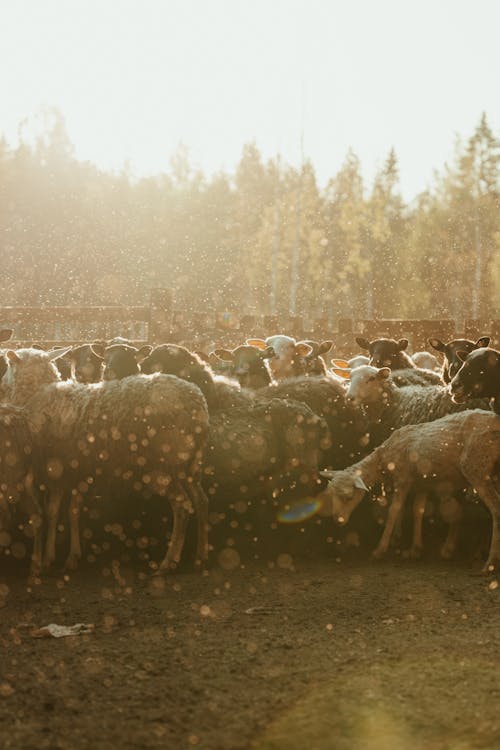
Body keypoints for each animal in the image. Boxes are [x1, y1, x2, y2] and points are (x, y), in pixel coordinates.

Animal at [1, 350, 209, 572]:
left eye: (8, 364)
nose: (2, 385)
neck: (37, 395)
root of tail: (197, 404)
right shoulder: (79, 472)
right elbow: (73, 511)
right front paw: (73, 556)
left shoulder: (56, 472)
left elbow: (52, 512)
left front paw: (49, 556)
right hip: (189, 465)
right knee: (201, 501)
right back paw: (200, 556)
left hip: (162, 466)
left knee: (182, 506)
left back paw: (169, 561)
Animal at [316, 412, 500, 568]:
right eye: (331, 495)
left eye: (349, 497)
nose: (338, 521)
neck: (381, 459)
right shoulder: (421, 485)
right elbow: (418, 511)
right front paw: (415, 548)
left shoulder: (402, 479)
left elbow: (393, 511)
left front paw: (380, 550)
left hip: (477, 467)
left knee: (495, 509)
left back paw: (490, 560)